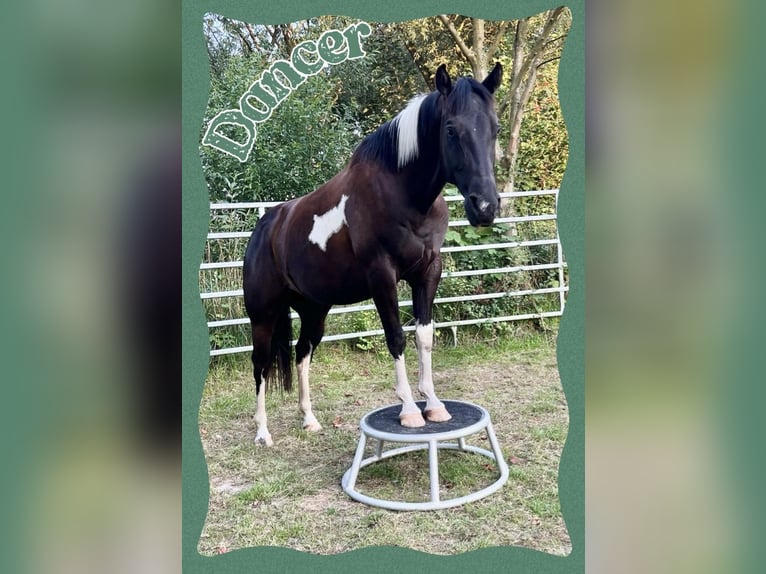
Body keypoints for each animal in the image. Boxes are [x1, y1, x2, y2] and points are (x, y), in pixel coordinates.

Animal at [242, 64, 504, 450]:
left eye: (495, 128)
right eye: (451, 129)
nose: (485, 206)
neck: (402, 194)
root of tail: (266, 226)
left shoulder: (429, 271)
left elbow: (424, 336)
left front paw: (434, 404)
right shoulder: (383, 276)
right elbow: (395, 337)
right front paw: (410, 410)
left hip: (314, 310)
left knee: (302, 353)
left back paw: (309, 419)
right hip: (263, 314)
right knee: (260, 364)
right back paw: (262, 432)